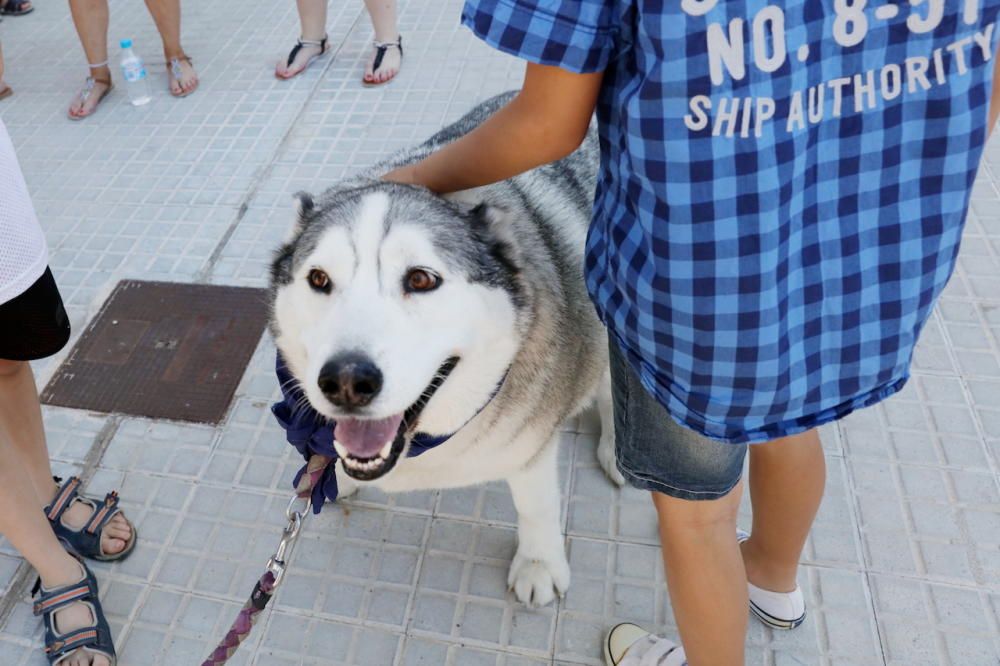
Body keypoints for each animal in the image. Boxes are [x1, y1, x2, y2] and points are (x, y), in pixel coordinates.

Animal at [270, 93, 620, 608]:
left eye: (421, 279)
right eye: (318, 279)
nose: (347, 382)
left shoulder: (532, 445)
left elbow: (536, 505)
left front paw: (539, 563)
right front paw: (340, 478)